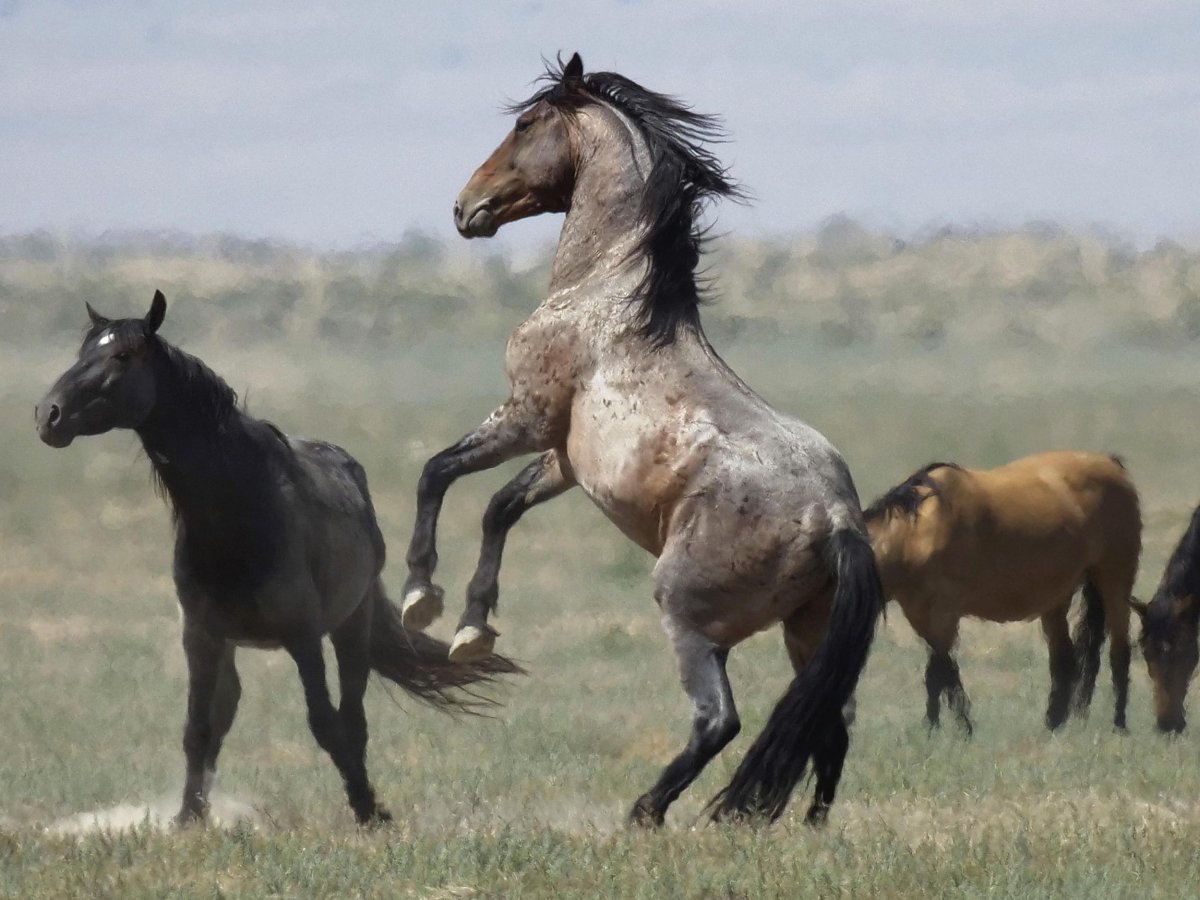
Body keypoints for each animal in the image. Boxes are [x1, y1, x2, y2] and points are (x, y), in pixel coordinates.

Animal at [35, 292, 519, 827]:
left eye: (122, 355)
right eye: (83, 352)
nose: (47, 414)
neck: (241, 509)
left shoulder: (303, 636)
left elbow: (326, 723)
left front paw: (367, 807)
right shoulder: (201, 637)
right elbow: (198, 728)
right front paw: (187, 820)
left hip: (350, 625)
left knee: (352, 715)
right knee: (225, 713)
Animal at [395, 53, 884, 826]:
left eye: (525, 124)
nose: (464, 207)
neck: (608, 295)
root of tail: (837, 521)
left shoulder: (525, 418)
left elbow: (437, 473)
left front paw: (421, 596)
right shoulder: (563, 460)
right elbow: (500, 508)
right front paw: (473, 629)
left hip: (687, 617)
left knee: (722, 721)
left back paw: (647, 811)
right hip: (805, 636)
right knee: (827, 724)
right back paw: (804, 828)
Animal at [864, 452, 1141, 734]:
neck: (916, 535)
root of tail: (1109, 462)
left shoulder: (944, 612)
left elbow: (938, 672)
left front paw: (949, 728)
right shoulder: (919, 615)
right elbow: (943, 671)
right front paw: (947, 727)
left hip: (1114, 584)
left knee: (1119, 653)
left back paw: (1119, 725)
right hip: (1057, 599)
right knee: (1065, 659)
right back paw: (1053, 725)